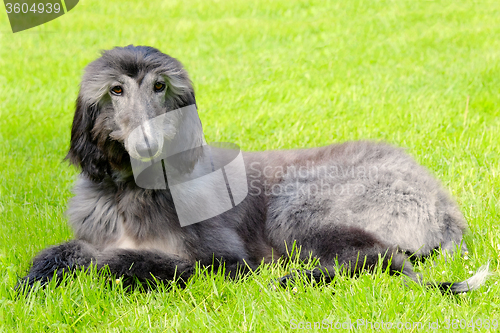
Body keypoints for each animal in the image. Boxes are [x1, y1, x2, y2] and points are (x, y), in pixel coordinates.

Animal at [18, 44, 488, 294]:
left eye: (160, 86)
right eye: (116, 91)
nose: (147, 146)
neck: (133, 193)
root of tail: (444, 207)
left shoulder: (224, 258)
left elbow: (129, 260)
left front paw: (93, 266)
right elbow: (62, 250)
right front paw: (33, 279)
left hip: (302, 205)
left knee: (378, 258)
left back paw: (292, 279)